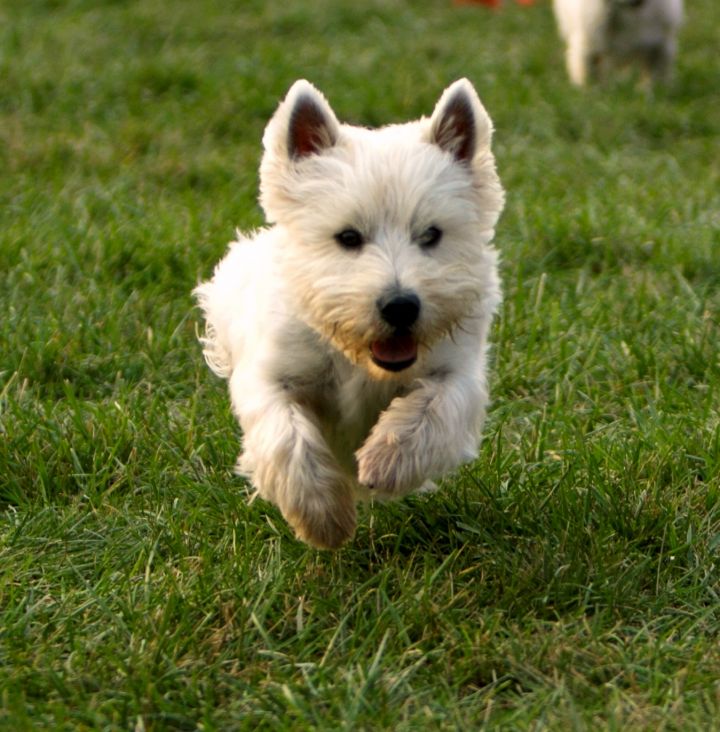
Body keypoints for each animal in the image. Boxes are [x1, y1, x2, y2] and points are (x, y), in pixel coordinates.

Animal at [194, 81, 504, 548]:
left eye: (431, 234)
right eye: (348, 237)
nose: (400, 306)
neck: (356, 357)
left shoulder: (458, 369)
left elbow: (433, 410)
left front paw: (387, 462)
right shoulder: (271, 375)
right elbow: (287, 438)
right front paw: (322, 518)